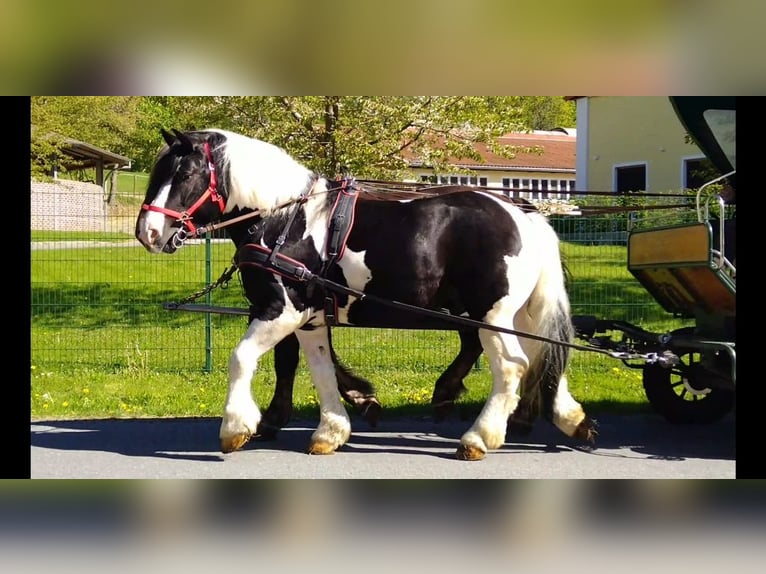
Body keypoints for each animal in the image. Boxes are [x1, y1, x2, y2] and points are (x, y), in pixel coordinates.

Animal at [135, 128, 597, 460]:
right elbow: (319, 369)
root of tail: (521, 212)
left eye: (186, 175)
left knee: (513, 366)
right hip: (515, 314)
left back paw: (478, 437)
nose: (147, 233)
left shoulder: (282, 309)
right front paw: (331, 430)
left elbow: (242, 358)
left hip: (491, 314)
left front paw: (236, 427)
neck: (285, 219)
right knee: (543, 354)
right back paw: (566, 417)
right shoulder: (310, 317)